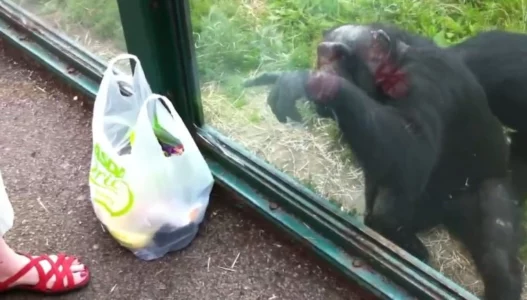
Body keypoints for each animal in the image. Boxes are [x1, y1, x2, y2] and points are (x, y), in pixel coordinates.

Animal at [306, 25, 524, 300]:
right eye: (323, 54)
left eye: (340, 55)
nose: (324, 64)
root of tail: (447, 214)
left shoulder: (422, 84)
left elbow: (413, 156)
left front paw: (329, 85)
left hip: (488, 187)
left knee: (498, 252)